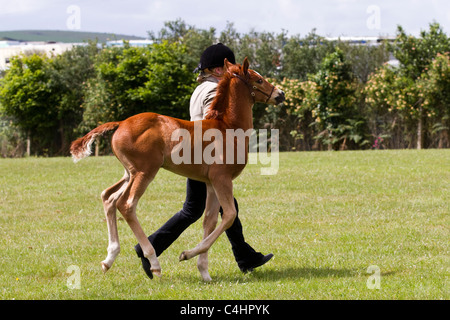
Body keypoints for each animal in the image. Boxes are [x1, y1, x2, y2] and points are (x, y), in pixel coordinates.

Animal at [70, 57, 284, 280]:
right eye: (259, 80)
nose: (281, 94)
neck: (227, 128)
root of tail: (120, 123)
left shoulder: (211, 183)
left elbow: (209, 221)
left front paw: (204, 272)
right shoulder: (222, 178)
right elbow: (230, 216)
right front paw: (187, 254)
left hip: (129, 173)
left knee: (109, 197)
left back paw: (110, 258)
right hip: (145, 172)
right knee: (126, 205)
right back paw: (152, 262)